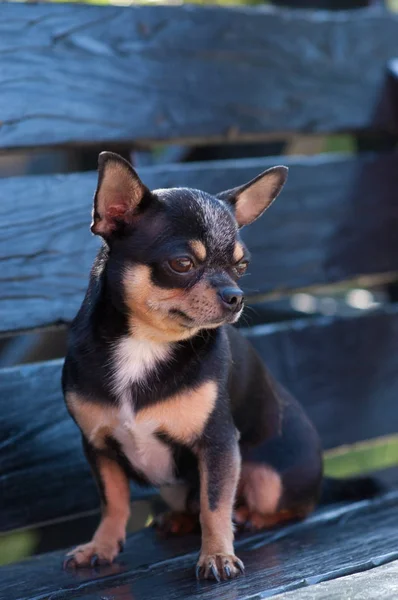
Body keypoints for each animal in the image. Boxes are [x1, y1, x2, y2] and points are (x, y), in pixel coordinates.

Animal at [63, 154, 380, 580]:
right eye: (181, 264)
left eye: (241, 266)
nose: (236, 296)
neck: (146, 344)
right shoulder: (98, 447)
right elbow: (113, 501)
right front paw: (101, 545)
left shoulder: (218, 445)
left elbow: (214, 504)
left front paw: (216, 555)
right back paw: (179, 520)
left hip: (269, 477)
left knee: (289, 506)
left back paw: (249, 517)